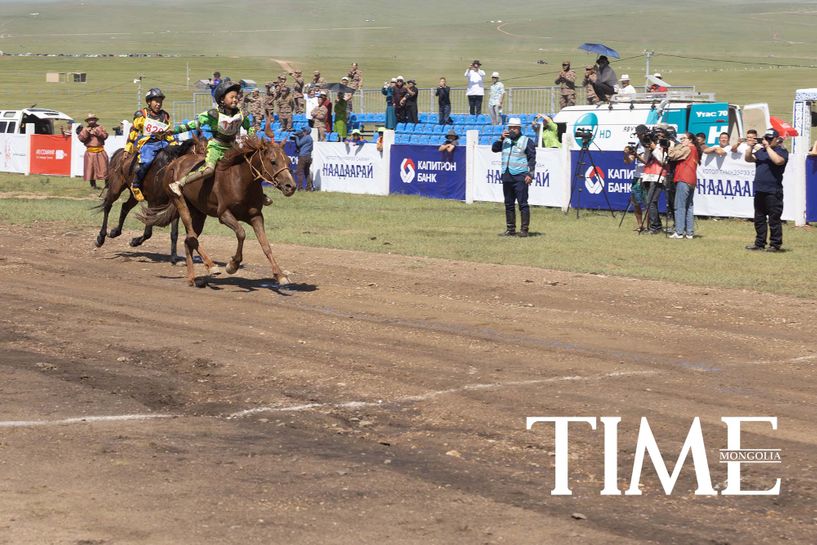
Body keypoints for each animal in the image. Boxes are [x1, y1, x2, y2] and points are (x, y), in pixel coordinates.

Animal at [139, 136, 296, 286]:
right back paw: (211, 265)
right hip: (180, 203)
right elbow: (241, 233)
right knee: (192, 236)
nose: (291, 186)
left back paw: (192, 278)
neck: (241, 181)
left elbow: (266, 245)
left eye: (288, 161)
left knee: (189, 240)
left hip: (199, 213)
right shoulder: (224, 214)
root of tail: (173, 164)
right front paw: (232, 265)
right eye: (273, 161)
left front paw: (280, 275)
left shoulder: (256, 216)